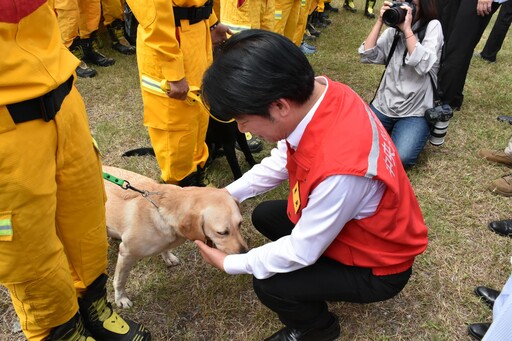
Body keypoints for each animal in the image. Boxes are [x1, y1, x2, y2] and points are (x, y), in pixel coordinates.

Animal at [102, 165, 248, 308]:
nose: (244, 252)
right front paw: (120, 298)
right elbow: (119, 280)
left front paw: (168, 257)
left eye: (240, 224)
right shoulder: (126, 253)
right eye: (222, 232)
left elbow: (164, 249)